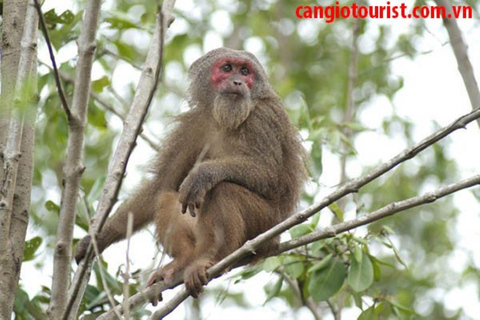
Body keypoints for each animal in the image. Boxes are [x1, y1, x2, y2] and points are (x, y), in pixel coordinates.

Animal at [75, 47, 308, 300]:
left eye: (245, 71)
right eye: (227, 68)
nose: (238, 82)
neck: (225, 120)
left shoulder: (264, 118)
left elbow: (270, 176)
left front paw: (203, 174)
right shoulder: (193, 125)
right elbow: (161, 184)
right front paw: (97, 240)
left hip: (266, 226)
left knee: (223, 189)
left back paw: (214, 257)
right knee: (167, 197)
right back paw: (184, 262)